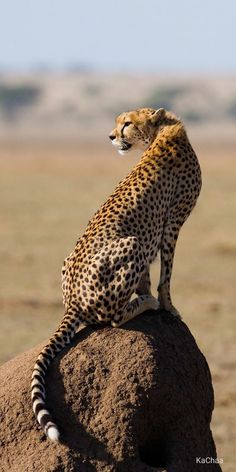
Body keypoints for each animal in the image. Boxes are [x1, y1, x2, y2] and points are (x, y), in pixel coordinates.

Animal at [31, 108, 201, 442]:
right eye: (119, 122)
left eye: (127, 123)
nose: (111, 136)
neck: (164, 129)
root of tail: (72, 301)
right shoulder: (172, 223)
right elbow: (166, 275)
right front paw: (167, 306)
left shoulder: (162, 227)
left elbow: (151, 275)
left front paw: (150, 294)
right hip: (132, 243)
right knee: (112, 319)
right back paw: (144, 305)